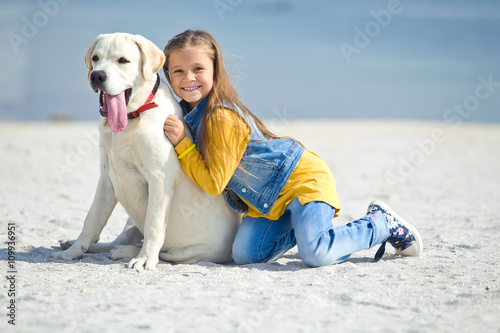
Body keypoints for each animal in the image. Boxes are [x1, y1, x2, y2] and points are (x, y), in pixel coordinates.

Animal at [49, 32, 241, 268]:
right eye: (95, 58)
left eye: (123, 60)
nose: (96, 76)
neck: (134, 116)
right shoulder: (106, 177)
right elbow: (92, 219)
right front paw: (73, 252)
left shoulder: (160, 179)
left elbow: (154, 224)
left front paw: (145, 259)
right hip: (130, 221)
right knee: (119, 239)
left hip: (187, 253)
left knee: (163, 252)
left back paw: (128, 252)